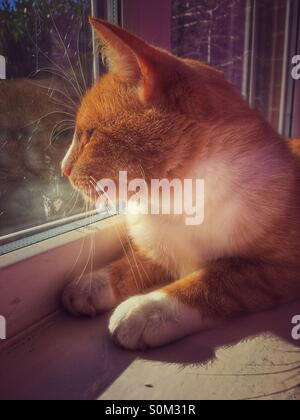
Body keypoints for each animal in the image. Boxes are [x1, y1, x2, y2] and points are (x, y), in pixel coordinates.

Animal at [62, 17, 300, 352]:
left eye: (91, 133)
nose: (63, 169)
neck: (173, 200)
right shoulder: (157, 244)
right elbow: (132, 260)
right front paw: (93, 281)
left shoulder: (279, 267)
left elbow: (215, 279)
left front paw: (149, 309)